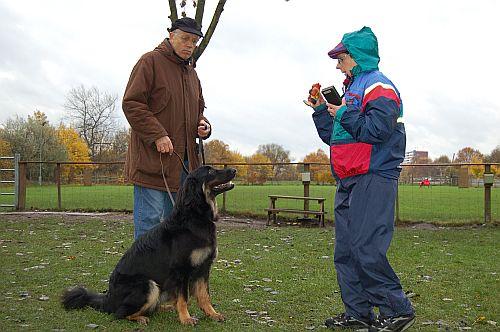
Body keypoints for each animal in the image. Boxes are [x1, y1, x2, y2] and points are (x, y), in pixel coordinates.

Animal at [60, 165, 236, 326]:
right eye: (210, 171)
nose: (234, 170)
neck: (195, 216)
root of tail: (108, 299)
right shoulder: (181, 271)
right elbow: (183, 298)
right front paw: (186, 318)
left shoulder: (204, 268)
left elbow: (205, 296)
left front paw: (212, 314)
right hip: (148, 285)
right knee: (120, 313)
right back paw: (140, 317)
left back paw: (164, 307)